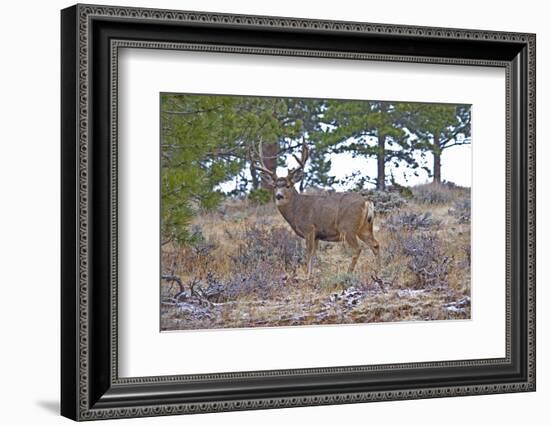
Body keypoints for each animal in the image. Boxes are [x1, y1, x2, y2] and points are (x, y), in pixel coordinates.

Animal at [254, 141, 380, 278]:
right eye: (275, 186)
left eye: (288, 186)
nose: (279, 196)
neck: (296, 209)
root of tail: (367, 202)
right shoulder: (317, 235)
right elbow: (314, 254)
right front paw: (311, 274)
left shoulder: (309, 228)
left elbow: (308, 253)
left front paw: (306, 276)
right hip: (364, 227)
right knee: (375, 244)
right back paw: (378, 270)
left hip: (348, 227)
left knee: (357, 249)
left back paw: (348, 274)